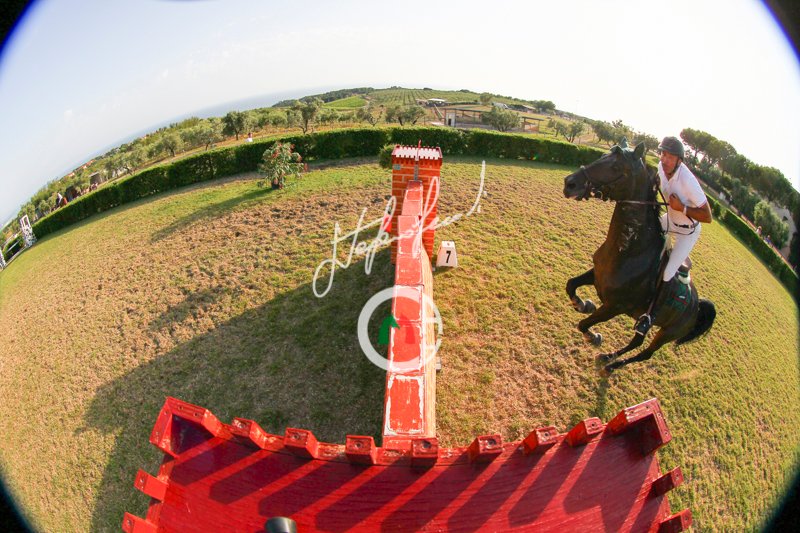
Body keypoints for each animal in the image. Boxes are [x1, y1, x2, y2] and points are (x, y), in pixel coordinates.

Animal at [562, 140, 716, 375]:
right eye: (603, 156)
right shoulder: (597, 274)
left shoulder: (614, 307)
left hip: (667, 332)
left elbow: (584, 325)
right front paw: (583, 304)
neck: (628, 252)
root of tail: (697, 305)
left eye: (617, 167)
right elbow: (571, 285)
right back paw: (609, 357)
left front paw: (594, 336)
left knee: (645, 353)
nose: (570, 183)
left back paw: (613, 365)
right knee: (636, 342)